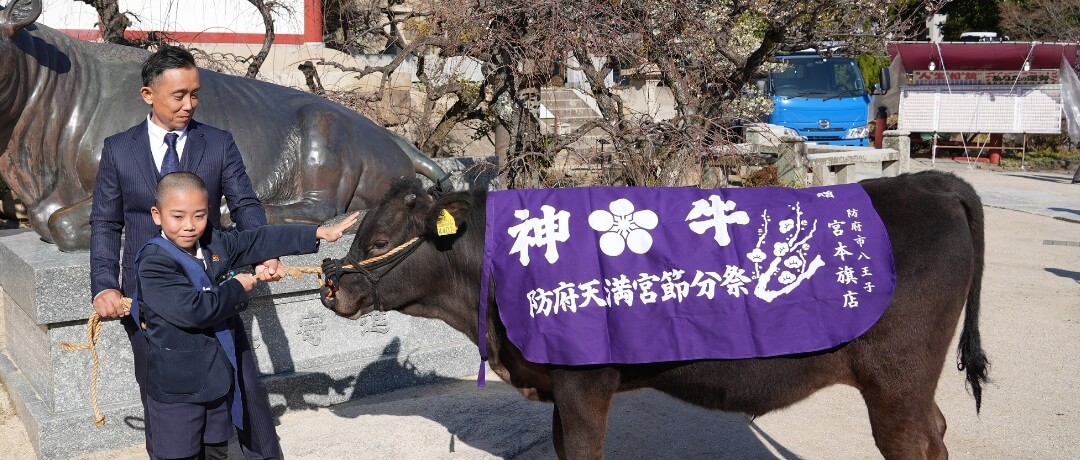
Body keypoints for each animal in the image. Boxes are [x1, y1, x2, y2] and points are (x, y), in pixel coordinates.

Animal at [0, 0, 444, 251]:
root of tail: (392, 137)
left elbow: (60, 224)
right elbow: (47, 221)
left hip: (324, 128)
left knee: (324, 207)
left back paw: (231, 213)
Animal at [324, 169, 989, 459]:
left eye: (379, 236)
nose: (332, 289)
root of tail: (927, 180)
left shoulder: (584, 384)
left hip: (895, 381)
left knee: (914, 440)